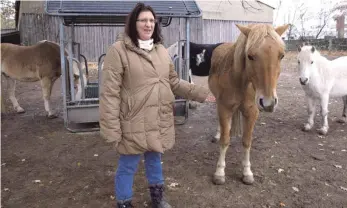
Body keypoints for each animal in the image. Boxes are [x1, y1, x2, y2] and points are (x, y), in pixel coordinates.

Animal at [208, 23, 290, 184]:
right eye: (250, 56)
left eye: (281, 55)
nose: (268, 103)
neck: (241, 82)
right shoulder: (224, 108)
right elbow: (224, 140)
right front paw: (219, 172)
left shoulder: (252, 112)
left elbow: (247, 141)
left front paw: (247, 172)